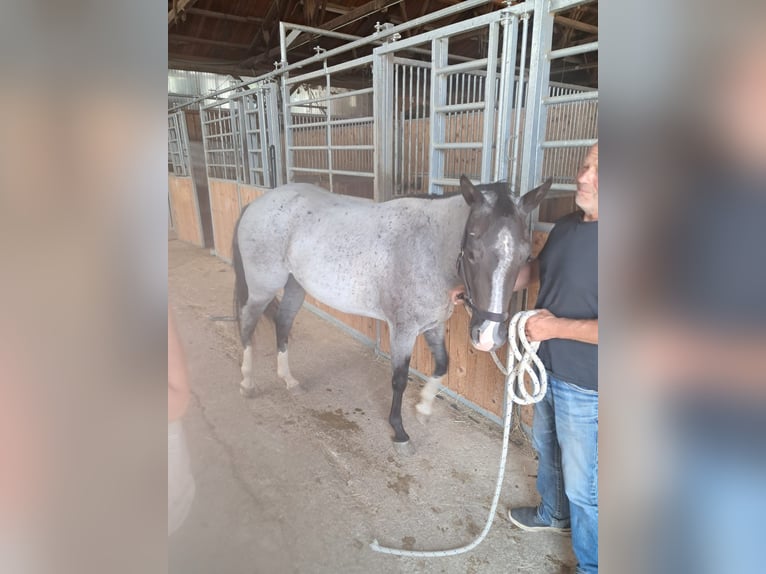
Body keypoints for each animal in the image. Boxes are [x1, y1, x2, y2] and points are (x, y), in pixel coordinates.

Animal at [232, 175, 551, 451]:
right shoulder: (403, 330)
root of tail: (257, 204)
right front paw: (399, 431)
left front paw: (423, 408)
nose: (487, 337)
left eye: (525, 257)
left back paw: (289, 380)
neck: (429, 249)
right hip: (262, 288)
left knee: (283, 323)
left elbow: (442, 365)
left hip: (295, 286)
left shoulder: (433, 325)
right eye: (472, 253)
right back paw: (247, 382)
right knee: (247, 325)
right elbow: (399, 378)